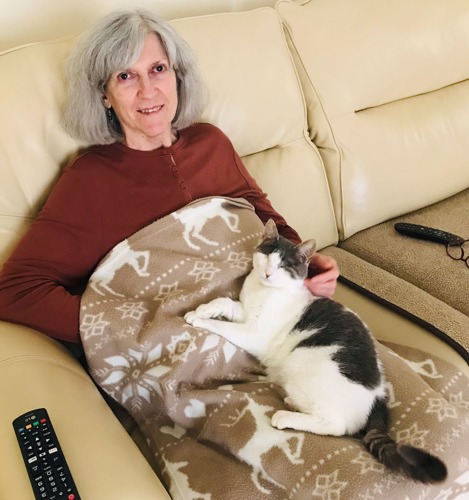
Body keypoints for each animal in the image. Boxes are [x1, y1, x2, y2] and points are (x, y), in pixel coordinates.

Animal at [185, 219, 448, 484]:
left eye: (284, 265)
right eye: (267, 255)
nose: (268, 273)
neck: (263, 290)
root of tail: (378, 396)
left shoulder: (255, 334)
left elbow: (223, 326)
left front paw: (200, 320)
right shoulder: (245, 312)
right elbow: (224, 303)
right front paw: (202, 309)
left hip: (303, 366)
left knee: (335, 425)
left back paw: (287, 416)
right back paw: (292, 403)